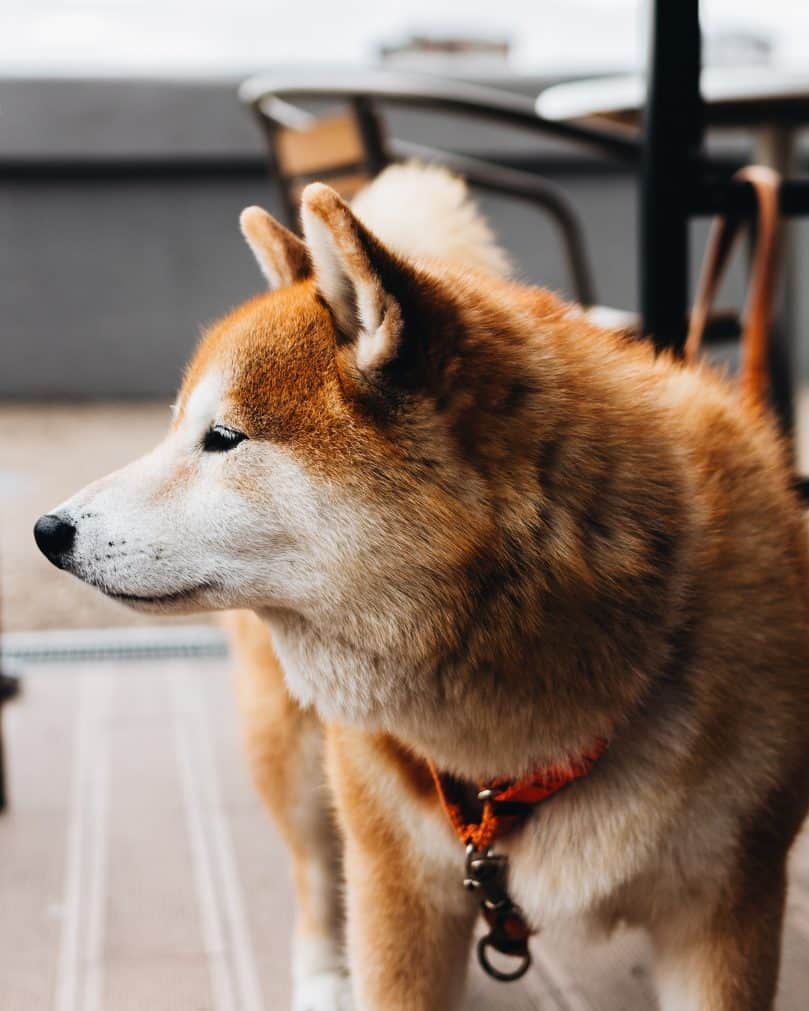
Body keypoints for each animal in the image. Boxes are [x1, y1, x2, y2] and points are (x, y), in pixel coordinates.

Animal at [34, 161, 809, 1006]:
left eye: (223, 437)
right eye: (175, 427)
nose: (47, 530)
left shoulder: (723, 903)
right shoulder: (398, 887)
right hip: (297, 761)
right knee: (315, 879)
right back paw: (323, 978)